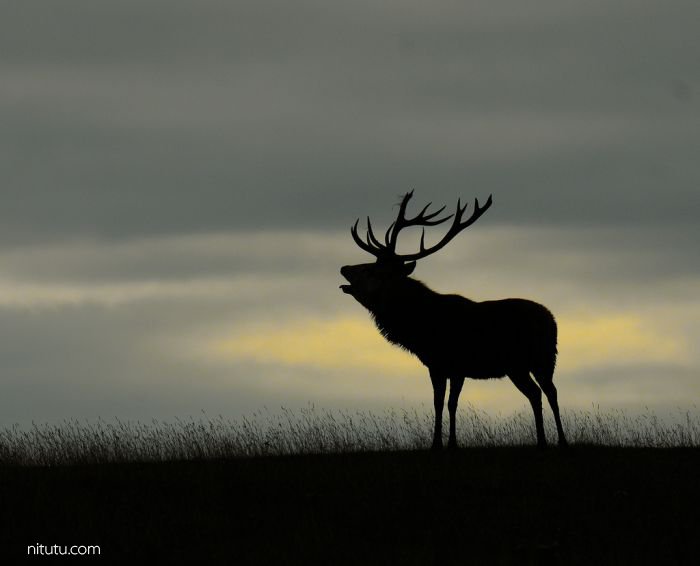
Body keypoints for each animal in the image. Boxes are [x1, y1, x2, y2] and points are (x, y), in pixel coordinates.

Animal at [340, 193, 568, 450]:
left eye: (374, 270)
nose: (344, 268)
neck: (419, 328)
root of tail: (552, 320)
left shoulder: (457, 365)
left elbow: (451, 403)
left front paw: (450, 443)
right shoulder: (435, 365)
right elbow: (438, 403)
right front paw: (437, 443)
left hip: (541, 358)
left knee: (550, 392)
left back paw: (561, 440)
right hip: (519, 367)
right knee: (536, 393)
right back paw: (542, 440)